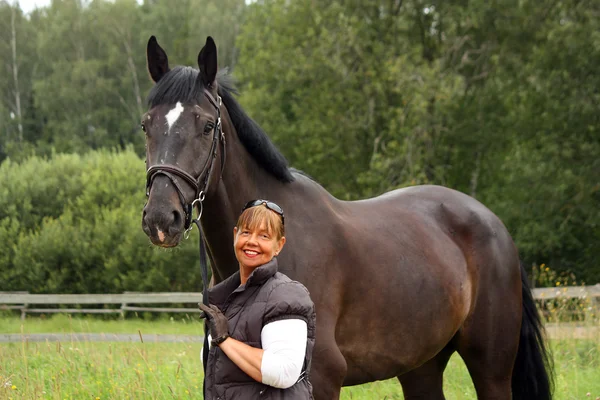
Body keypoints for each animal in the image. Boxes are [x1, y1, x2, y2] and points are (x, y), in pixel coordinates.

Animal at [141, 36, 552, 398]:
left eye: (207, 126)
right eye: (146, 125)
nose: (161, 218)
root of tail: (495, 225)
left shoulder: (323, 379)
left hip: (491, 369)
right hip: (421, 368)